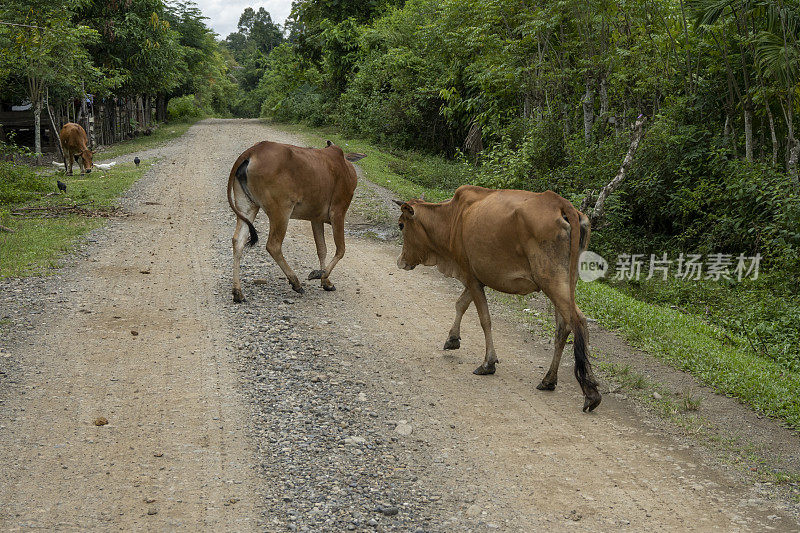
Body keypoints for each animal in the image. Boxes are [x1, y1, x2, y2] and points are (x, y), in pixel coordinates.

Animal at [227, 139, 368, 300]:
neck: (345, 166)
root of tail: (252, 151)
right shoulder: (338, 212)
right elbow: (341, 250)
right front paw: (321, 275)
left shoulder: (316, 219)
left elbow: (322, 249)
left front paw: (326, 282)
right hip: (281, 211)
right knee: (273, 245)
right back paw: (295, 282)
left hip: (248, 207)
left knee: (238, 241)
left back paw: (238, 292)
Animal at [394, 185, 600, 414]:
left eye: (401, 224)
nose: (400, 261)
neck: (451, 218)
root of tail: (561, 203)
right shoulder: (476, 277)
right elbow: (460, 304)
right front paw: (452, 339)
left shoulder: (470, 275)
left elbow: (484, 319)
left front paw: (488, 363)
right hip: (566, 280)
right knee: (565, 326)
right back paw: (550, 380)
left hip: (551, 279)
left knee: (577, 321)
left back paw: (590, 393)